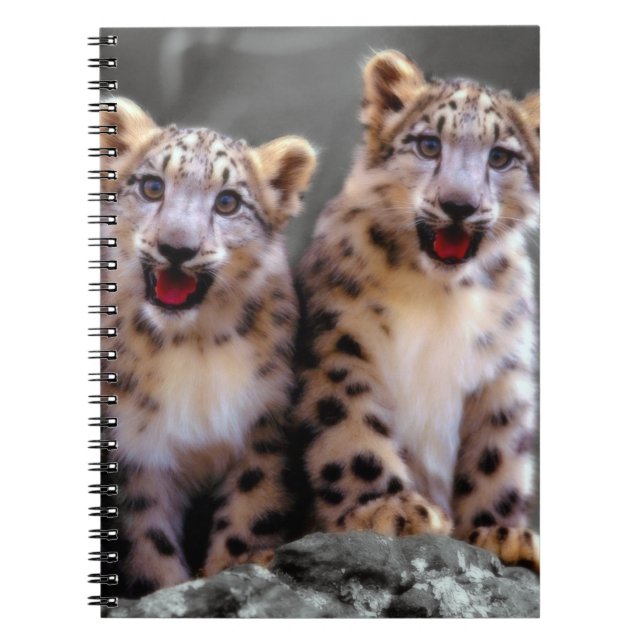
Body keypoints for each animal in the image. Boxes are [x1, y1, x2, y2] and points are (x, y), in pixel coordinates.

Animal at [98, 98, 316, 597]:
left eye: (228, 201)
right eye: (153, 186)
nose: (176, 248)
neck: (191, 345)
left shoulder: (264, 425)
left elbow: (252, 511)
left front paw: (234, 570)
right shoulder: (135, 447)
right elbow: (146, 539)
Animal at [293, 50, 540, 572]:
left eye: (500, 157)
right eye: (429, 145)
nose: (459, 204)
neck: (439, 295)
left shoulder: (503, 367)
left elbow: (498, 453)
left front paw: (501, 533)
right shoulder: (340, 342)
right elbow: (351, 427)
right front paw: (386, 509)